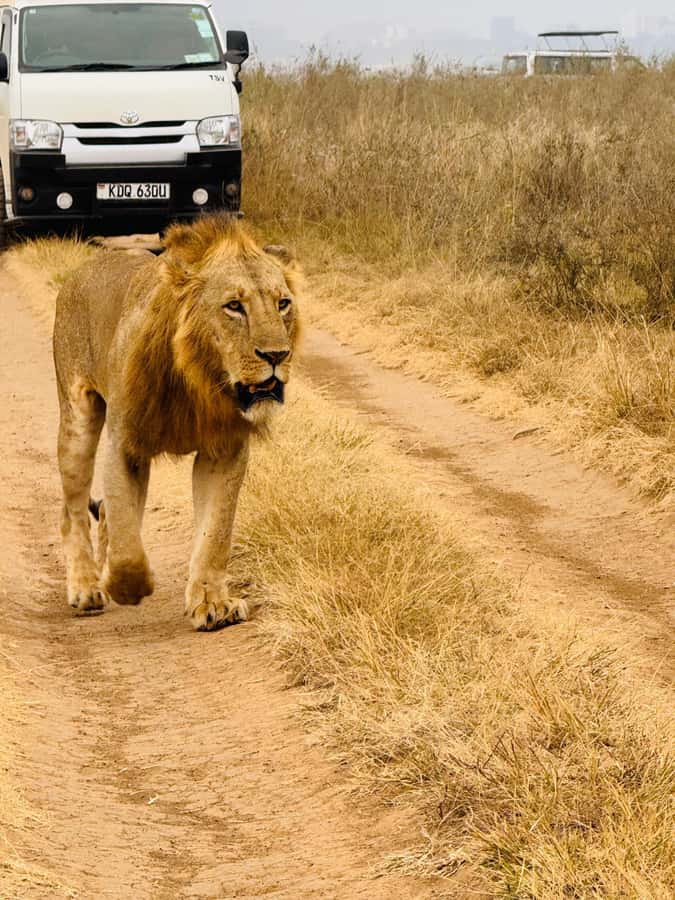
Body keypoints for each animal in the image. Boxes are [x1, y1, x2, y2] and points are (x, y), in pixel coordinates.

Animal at [53, 214, 300, 630]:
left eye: (283, 304)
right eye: (234, 306)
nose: (277, 355)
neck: (200, 379)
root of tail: (81, 270)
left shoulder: (224, 449)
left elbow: (215, 532)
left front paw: (212, 603)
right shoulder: (126, 443)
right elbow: (127, 543)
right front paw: (127, 586)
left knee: (103, 514)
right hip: (77, 421)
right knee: (73, 513)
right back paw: (87, 587)